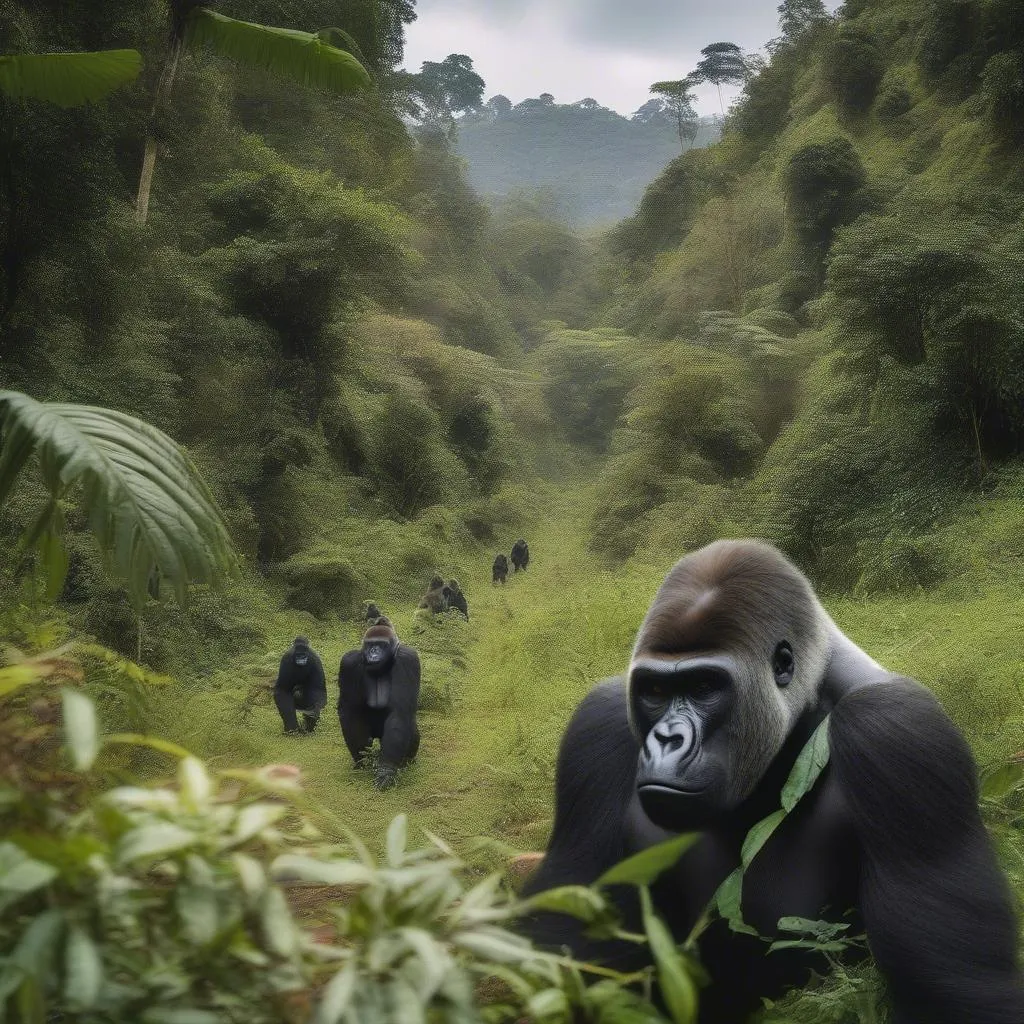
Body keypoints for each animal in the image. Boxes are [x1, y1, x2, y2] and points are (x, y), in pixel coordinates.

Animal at [337, 614, 421, 790]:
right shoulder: (349, 662)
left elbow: (399, 713)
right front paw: (363, 760)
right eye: (370, 644)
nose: (373, 652)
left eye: (381, 645)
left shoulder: (407, 659)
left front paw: (386, 770)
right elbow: (350, 710)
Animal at [524, 536, 1024, 1024]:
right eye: (655, 691)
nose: (666, 739)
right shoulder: (597, 727)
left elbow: (956, 997)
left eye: (704, 687)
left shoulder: (897, 730)